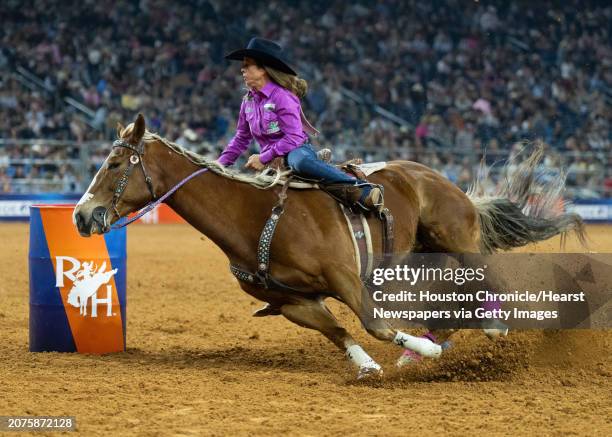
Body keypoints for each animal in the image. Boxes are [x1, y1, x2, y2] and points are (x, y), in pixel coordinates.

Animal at [71, 114, 584, 376]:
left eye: (115, 163)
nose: (80, 215)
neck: (255, 216)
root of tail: (436, 178)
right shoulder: (294, 301)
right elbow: (339, 332)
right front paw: (371, 365)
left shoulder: (345, 277)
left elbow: (375, 324)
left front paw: (422, 351)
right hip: (421, 256)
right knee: (450, 300)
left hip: (456, 239)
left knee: (485, 279)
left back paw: (488, 327)